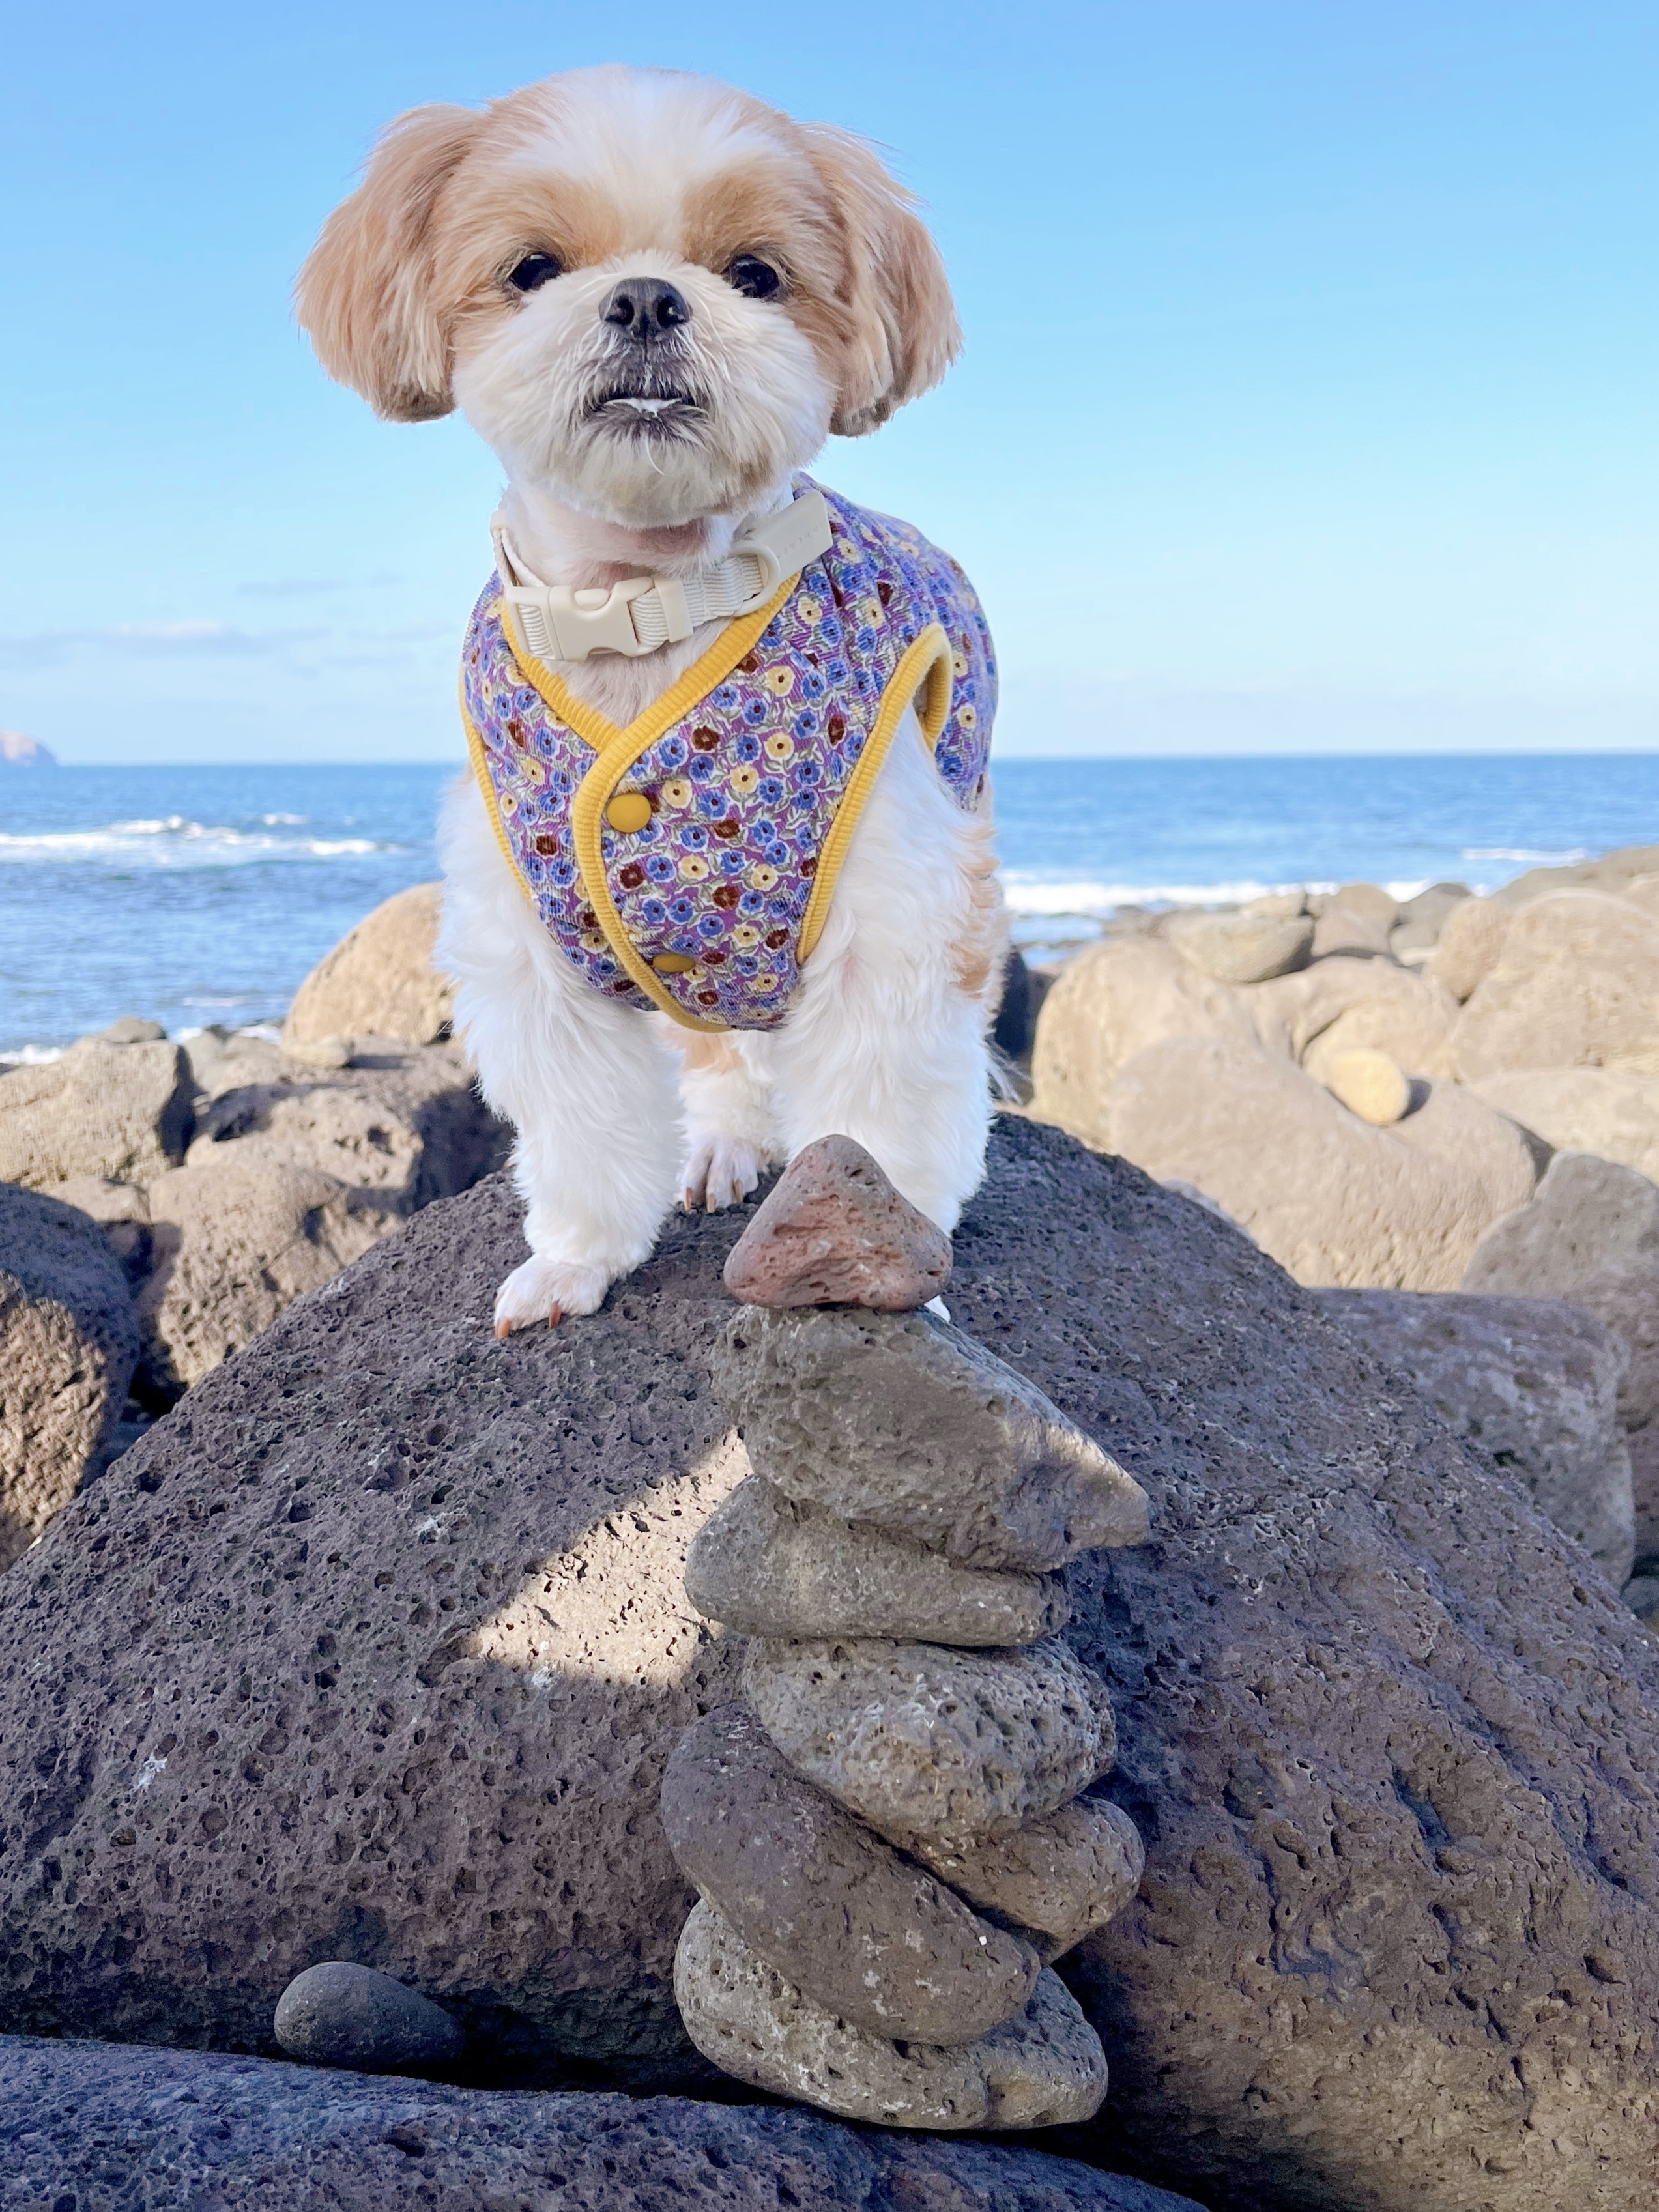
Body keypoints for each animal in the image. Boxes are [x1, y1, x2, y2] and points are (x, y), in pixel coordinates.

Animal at [297, 64, 1008, 1334]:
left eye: (756, 274)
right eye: (531, 267)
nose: (641, 299)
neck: (647, 604)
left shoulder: (895, 922)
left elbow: (879, 1112)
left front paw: (892, 1267)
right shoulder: (534, 950)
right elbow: (582, 1124)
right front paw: (577, 1258)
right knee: (717, 1054)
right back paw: (720, 1143)